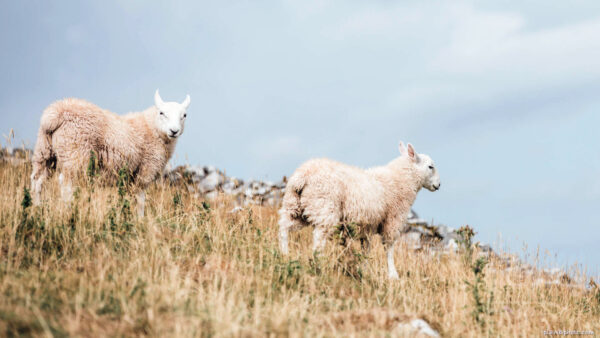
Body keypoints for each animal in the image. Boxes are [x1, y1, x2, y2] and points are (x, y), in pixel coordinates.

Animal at [29, 90, 190, 217]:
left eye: (184, 115)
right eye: (162, 113)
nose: (174, 131)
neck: (152, 128)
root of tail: (55, 114)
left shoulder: (129, 176)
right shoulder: (144, 172)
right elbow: (140, 200)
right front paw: (139, 220)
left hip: (45, 151)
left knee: (37, 180)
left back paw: (36, 208)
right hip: (75, 153)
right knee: (66, 184)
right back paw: (68, 211)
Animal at [278, 143, 440, 280]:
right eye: (430, 166)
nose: (438, 185)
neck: (400, 180)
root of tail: (302, 176)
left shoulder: (367, 226)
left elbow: (366, 249)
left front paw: (364, 269)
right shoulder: (393, 220)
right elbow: (389, 248)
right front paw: (393, 275)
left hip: (296, 207)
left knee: (284, 228)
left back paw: (284, 254)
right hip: (325, 208)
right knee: (318, 239)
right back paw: (319, 264)